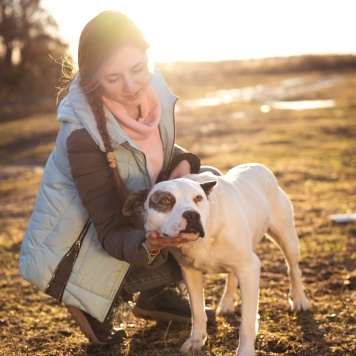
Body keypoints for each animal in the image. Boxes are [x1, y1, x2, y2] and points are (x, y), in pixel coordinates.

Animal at [123, 163, 308, 354]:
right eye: (165, 201)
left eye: (198, 198)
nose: (192, 215)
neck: (207, 232)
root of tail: (258, 165)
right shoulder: (190, 273)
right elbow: (197, 312)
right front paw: (197, 340)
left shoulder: (250, 269)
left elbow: (247, 323)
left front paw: (245, 351)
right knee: (232, 276)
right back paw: (226, 303)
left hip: (287, 239)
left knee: (294, 269)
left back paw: (299, 300)